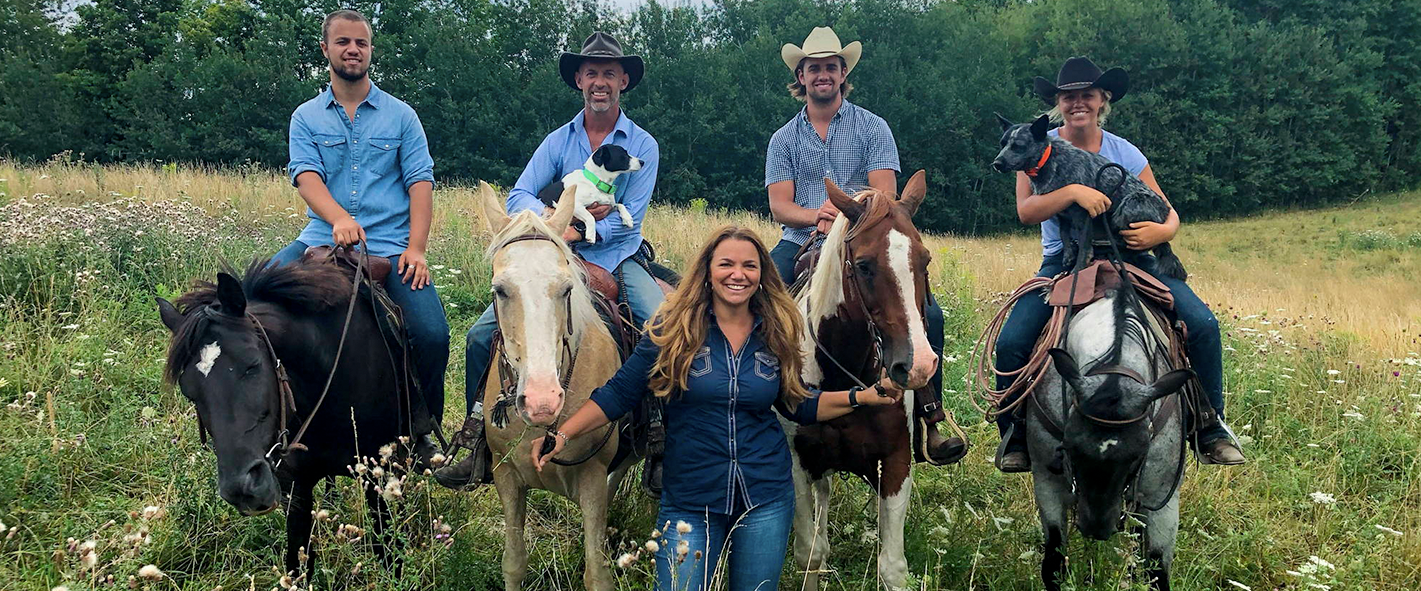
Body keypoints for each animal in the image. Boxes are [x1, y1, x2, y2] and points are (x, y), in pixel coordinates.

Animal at [159, 257, 426, 576]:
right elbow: (299, 565)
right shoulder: (297, 489)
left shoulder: (378, 474)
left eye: (252, 365)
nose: (243, 490)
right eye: (189, 390)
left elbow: (388, 553)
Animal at [474, 181, 630, 591]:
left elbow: (597, 574)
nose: (542, 402)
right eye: (500, 290)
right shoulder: (505, 475)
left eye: (565, 289)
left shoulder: (591, 480)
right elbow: (514, 563)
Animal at [784, 171, 937, 591]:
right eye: (865, 265)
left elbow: (892, 566)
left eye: (924, 260)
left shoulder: (896, 462)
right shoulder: (798, 464)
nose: (917, 366)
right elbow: (810, 554)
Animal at [994, 116, 1182, 282]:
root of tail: (1165, 211)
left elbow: (1084, 248)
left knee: (1131, 245)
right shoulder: (1062, 214)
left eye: (1019, 146)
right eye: (1002, 143)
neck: (1050, 161)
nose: (996, 163)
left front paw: (1078, 268)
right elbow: (1064, 234)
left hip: (1127, 207)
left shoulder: (1083, 215)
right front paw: (1069, 255)